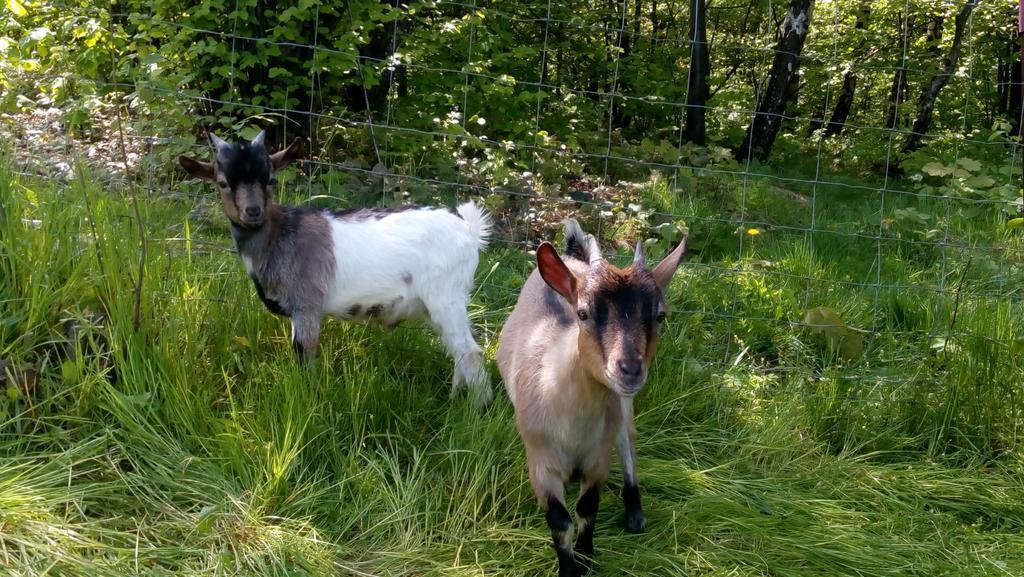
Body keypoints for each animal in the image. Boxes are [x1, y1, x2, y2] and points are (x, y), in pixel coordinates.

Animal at [181, 132, 495, 405]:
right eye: (222, 182)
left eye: (270, 179)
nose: (253, 211)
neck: (279, 235)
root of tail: (469, 231)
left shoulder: (307, 304)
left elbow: (304, 354)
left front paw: (307, 399)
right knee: (457, 350)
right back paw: (455, 398)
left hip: (446, 297)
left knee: (470, 352)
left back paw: (476, 409)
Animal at [497, 220, 688, 573]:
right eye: (583, 314)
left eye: (660, 315)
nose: (629, 369)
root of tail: (572, 254)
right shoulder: (540, 465)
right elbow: (560, 522)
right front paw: (570, 567)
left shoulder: (598, 459)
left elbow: (588, 509)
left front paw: (585, 558)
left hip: (622, 409)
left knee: (627, 441)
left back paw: (635, 515)